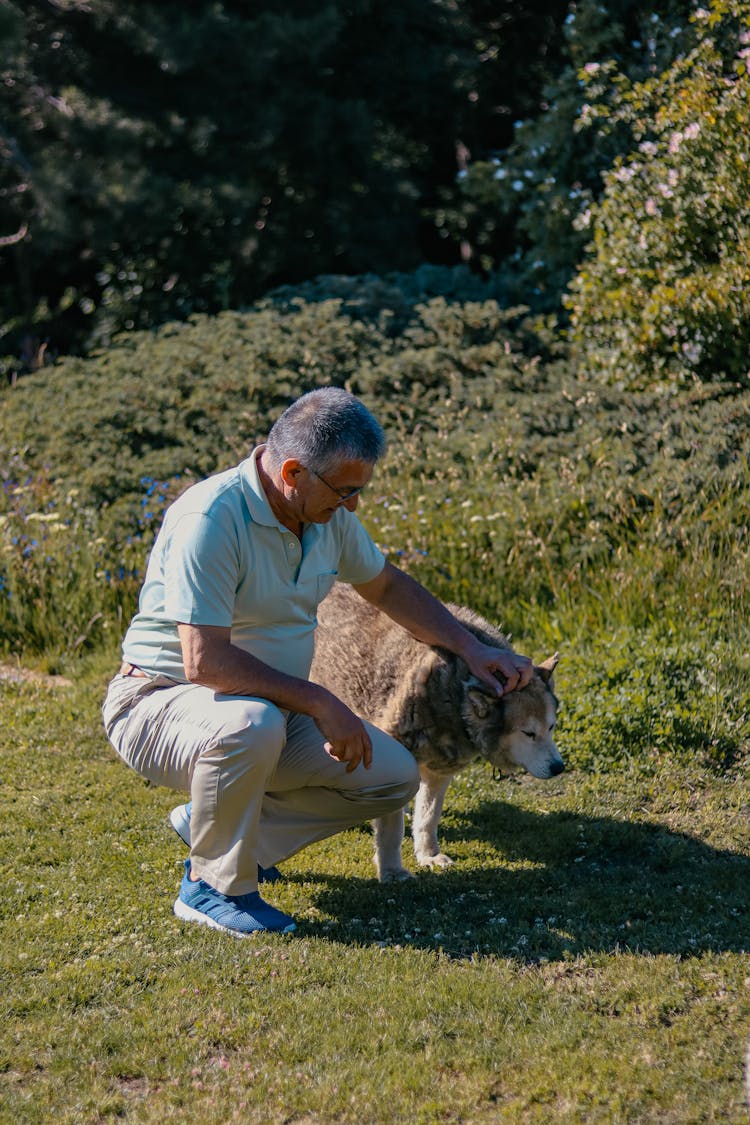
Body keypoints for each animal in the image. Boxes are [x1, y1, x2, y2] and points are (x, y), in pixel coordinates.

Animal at [310, 585, 562, 882]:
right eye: (528, 733)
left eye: (551, 727)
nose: (559, 767)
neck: (454, 693)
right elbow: (391, 830)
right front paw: (391, 869)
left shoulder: (441, 769)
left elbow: (429, 816)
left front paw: (428, 855)